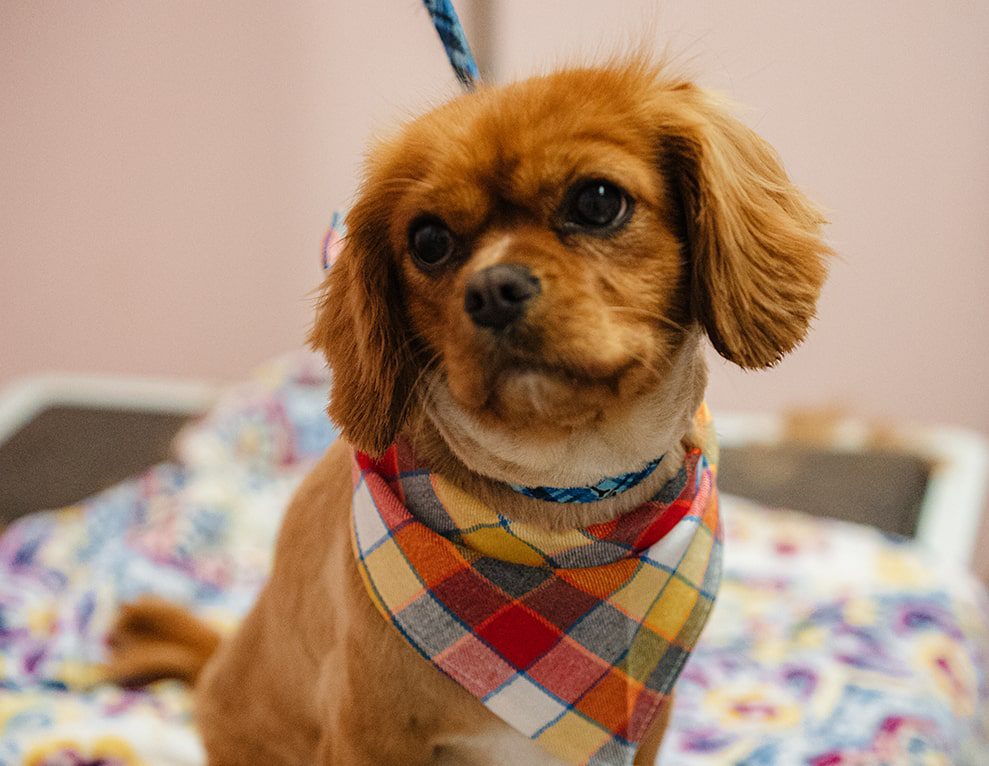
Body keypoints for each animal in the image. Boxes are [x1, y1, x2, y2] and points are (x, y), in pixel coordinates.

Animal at [104, 61, 828, 766]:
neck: (562, 502)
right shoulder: (367, 732)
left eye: (597, 201)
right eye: (428, 241)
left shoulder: (645, 729)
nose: (493, 288)